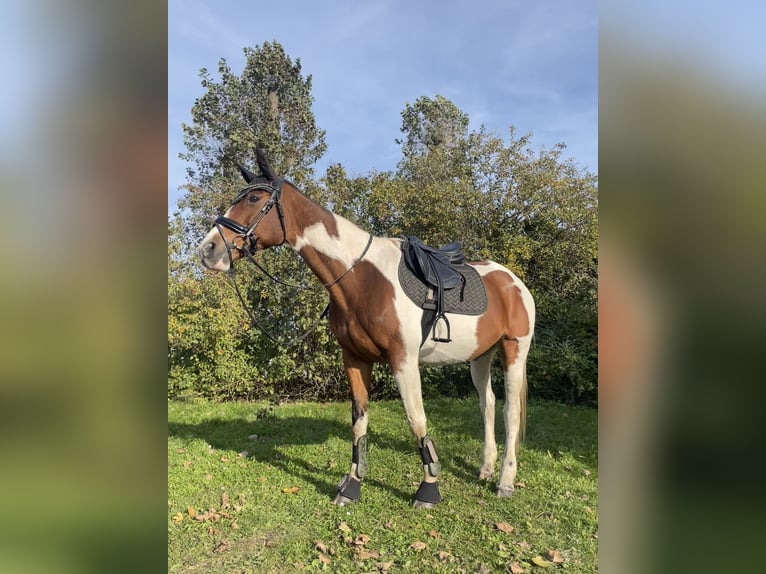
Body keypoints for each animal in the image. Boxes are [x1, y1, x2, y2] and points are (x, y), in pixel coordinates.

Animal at [196, 147, 536, 508]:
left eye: (254, 198)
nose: (208, 249)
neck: (361, 278)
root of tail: (512, 282)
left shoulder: (403, 360)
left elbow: (416, 419)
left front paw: (428, 488)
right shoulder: (355, 359)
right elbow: (359, 422)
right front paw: (351, 486)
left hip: (514, 350)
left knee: (511, 411)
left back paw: (505, 481)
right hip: (480, 357)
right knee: (488, 404)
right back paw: (486, 468)